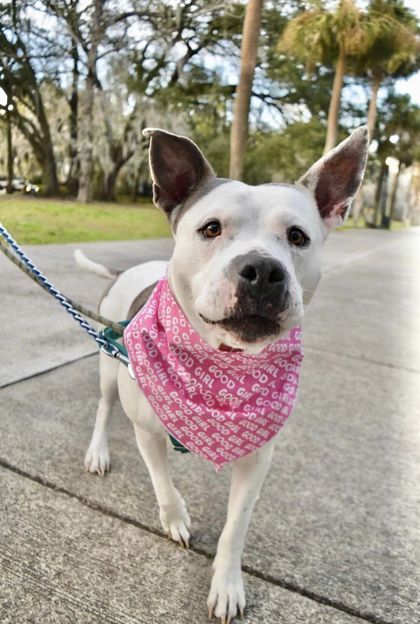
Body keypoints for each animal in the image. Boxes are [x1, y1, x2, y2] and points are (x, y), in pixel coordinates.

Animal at [75, 124, 368, 620]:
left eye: (298, 236)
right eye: (210, 228)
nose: (263, 270)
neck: (222, 361)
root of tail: (124, 270)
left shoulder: (258, 457)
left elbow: (236, 526)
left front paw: (227, 584)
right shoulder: (147, 431)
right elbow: (162, 482)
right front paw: (175, 518)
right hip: (109, 364)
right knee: (102, 407)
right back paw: (98, 451)